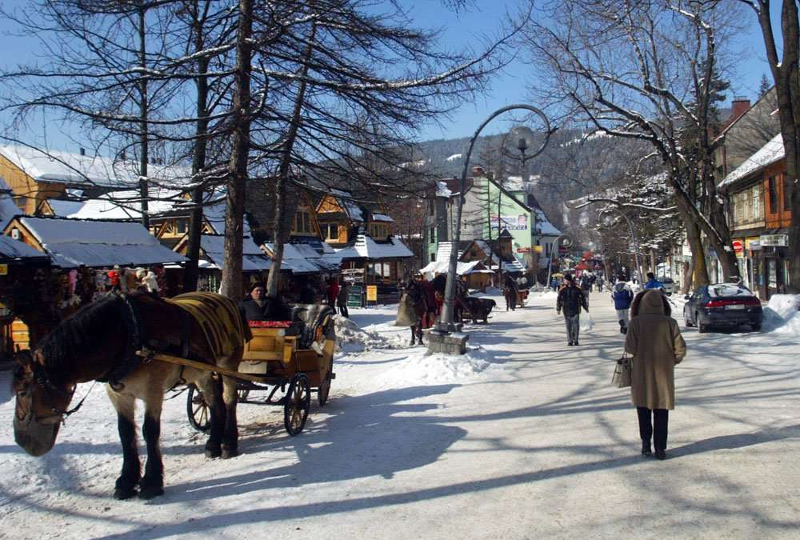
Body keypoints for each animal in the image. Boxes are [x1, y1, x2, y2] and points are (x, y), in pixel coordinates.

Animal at [9, 294, 247, 500]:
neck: (127, 336)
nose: (21, 441)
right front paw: (126, 481)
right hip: (202, 371)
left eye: (22, 392)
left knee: (229, 400)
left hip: (228, 365)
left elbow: (150, 431)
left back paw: (229, 443)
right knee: (214, 402)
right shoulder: (119, 394)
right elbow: (125, 432)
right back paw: (213, 444)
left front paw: (151, 482)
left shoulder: (153, 390)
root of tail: (226, 299)